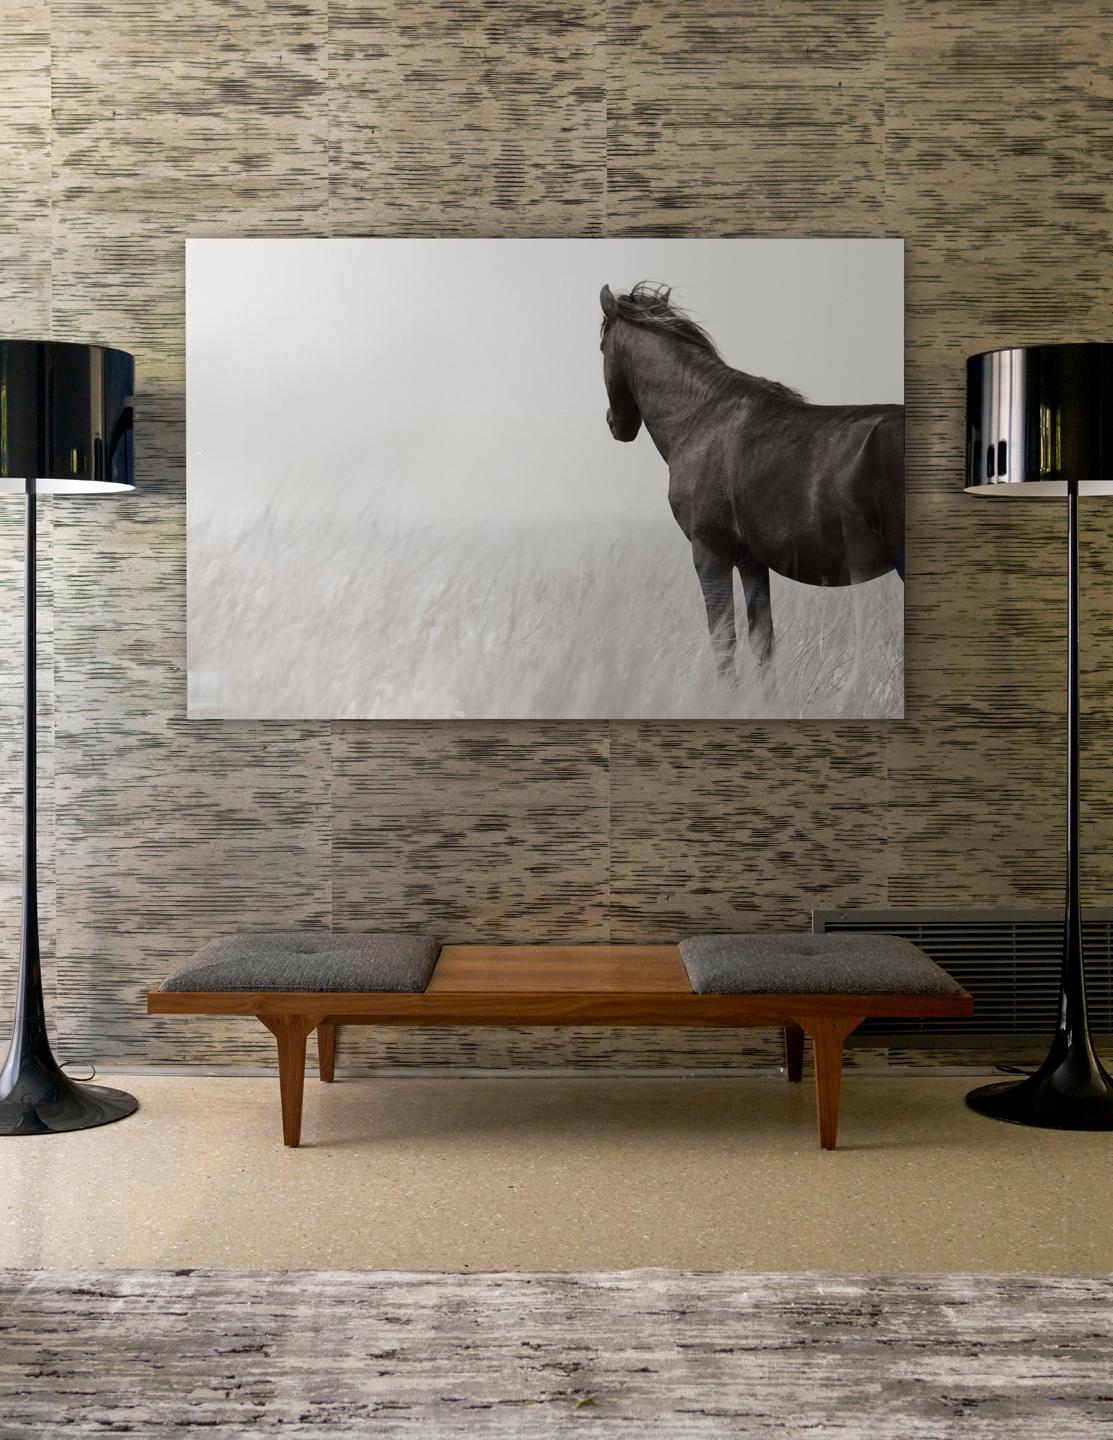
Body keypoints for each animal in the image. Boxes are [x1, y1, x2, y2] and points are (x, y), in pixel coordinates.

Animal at [598, 288, 904, 685]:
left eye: (601, 344)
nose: (615, 424)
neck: (698, 418)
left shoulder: (709, 554)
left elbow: (723, 641)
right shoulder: (751, 561)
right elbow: (762, 641)